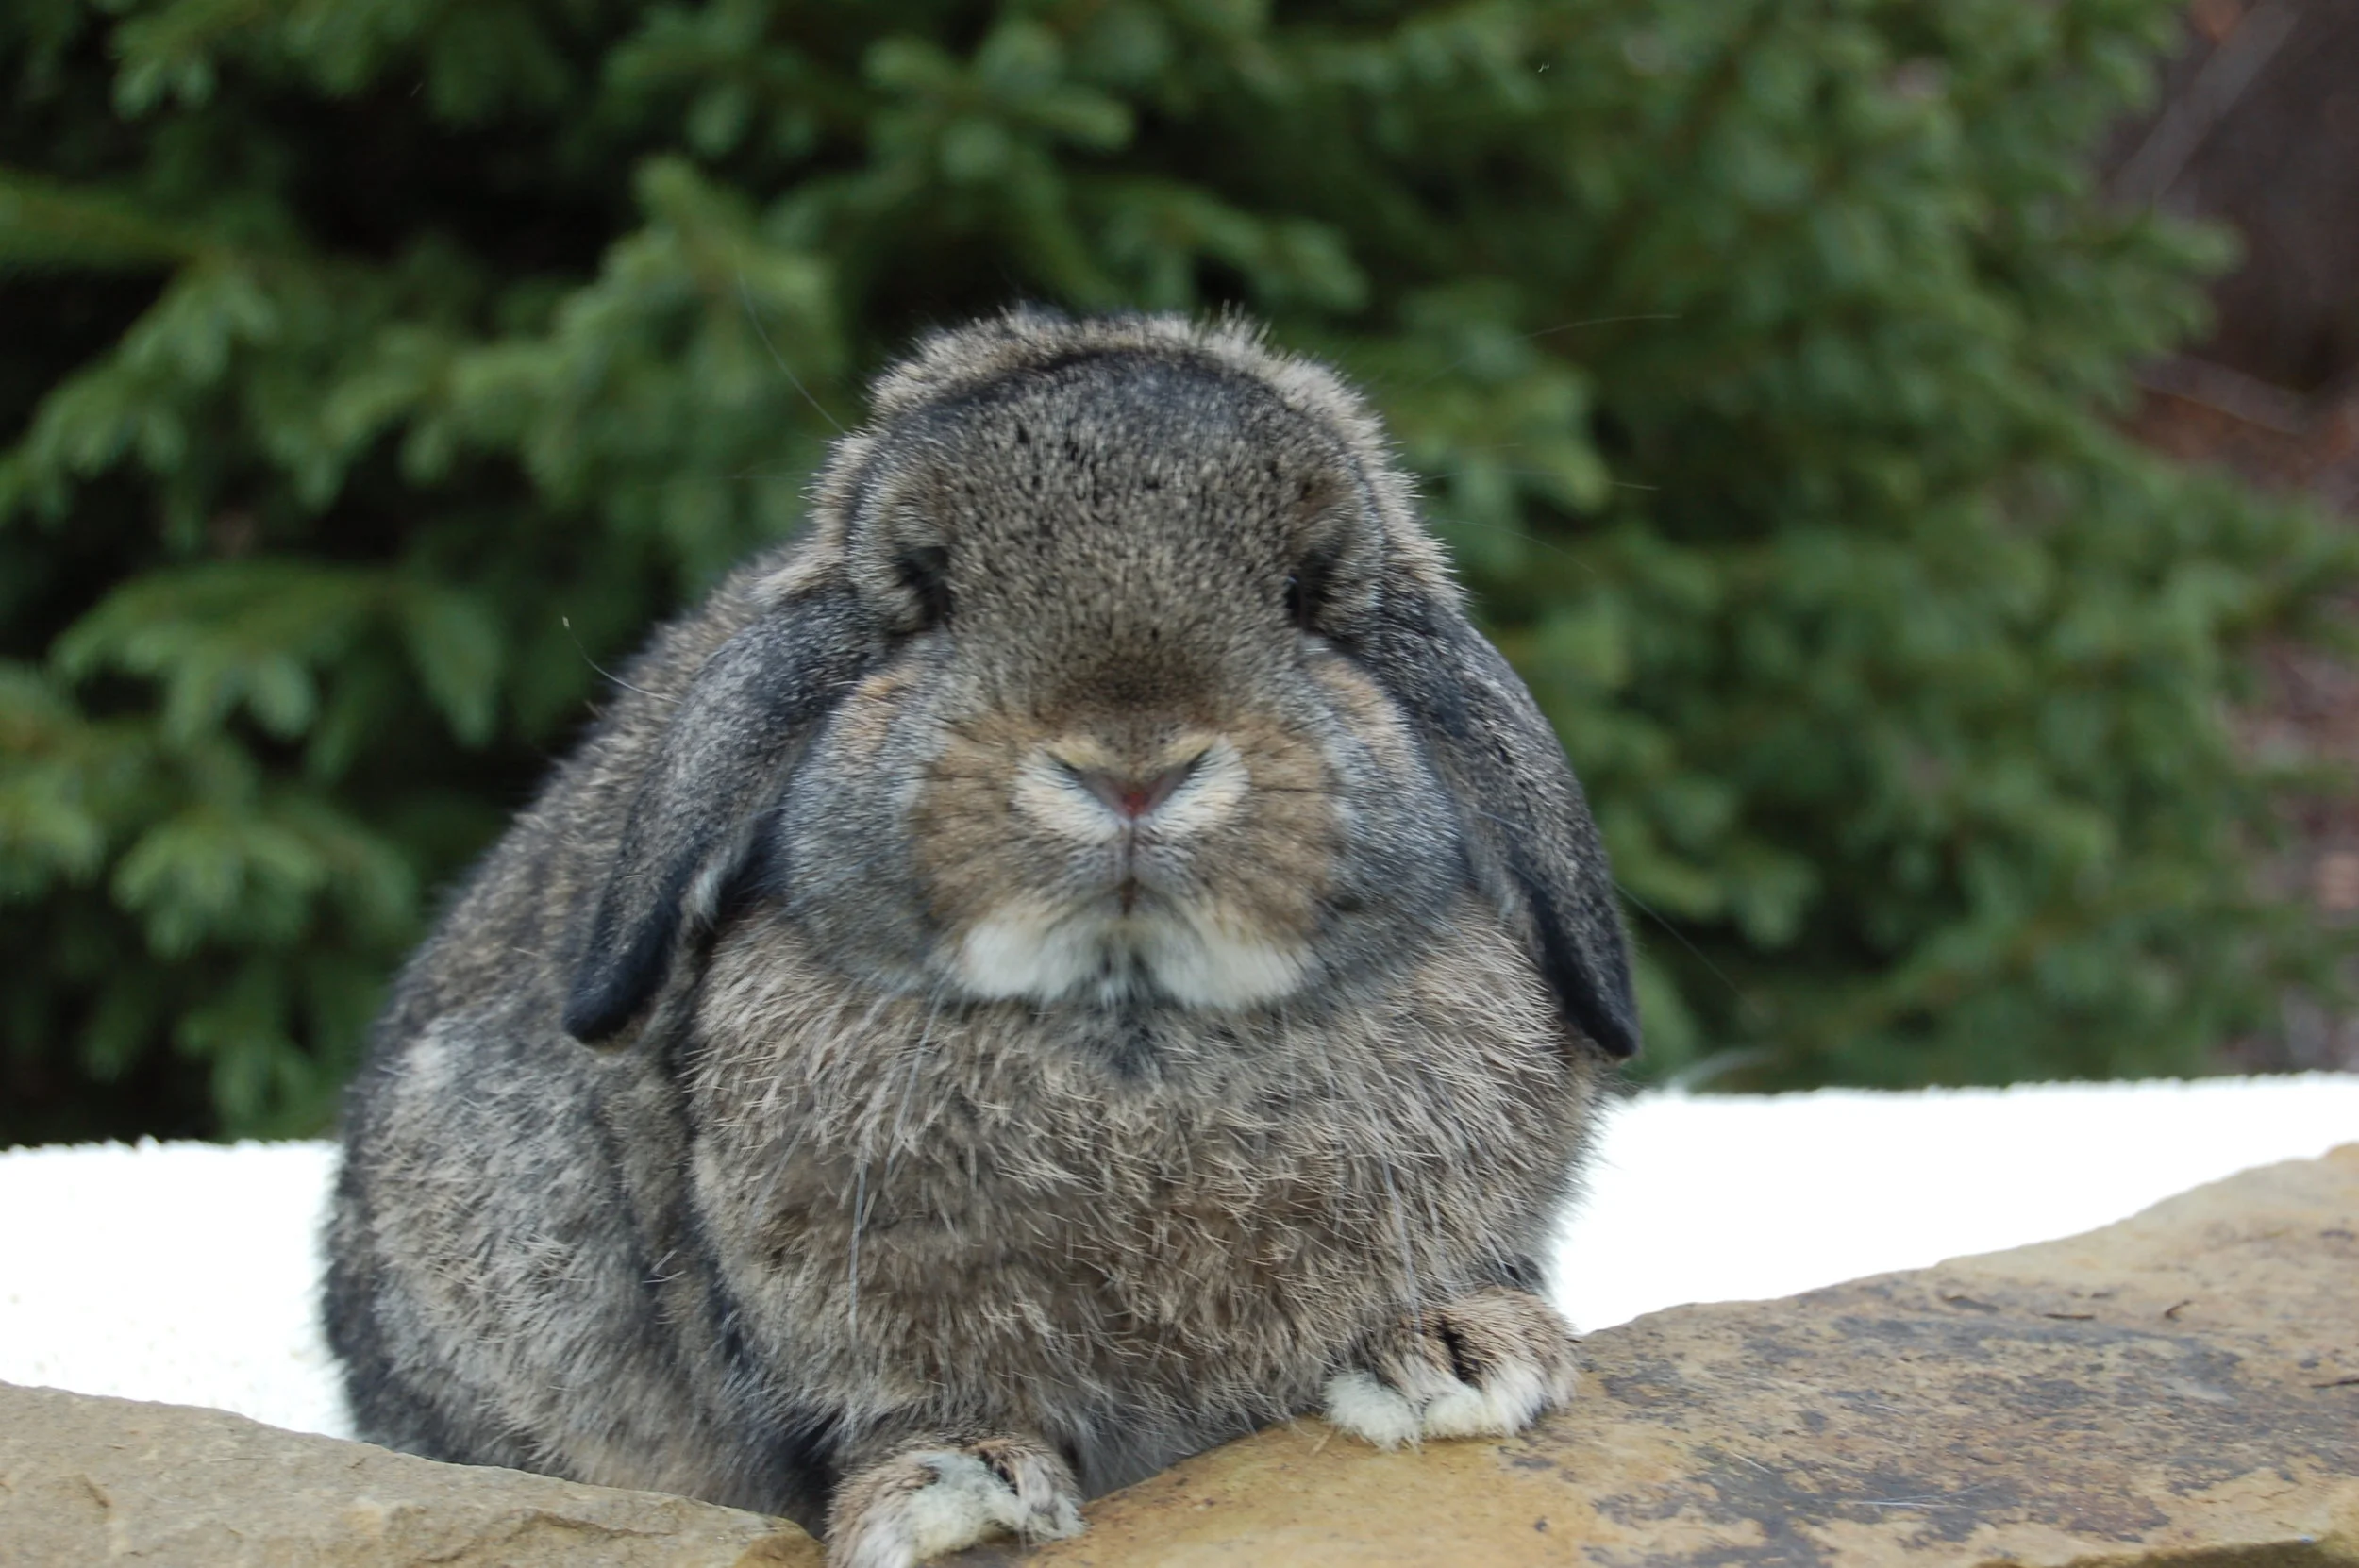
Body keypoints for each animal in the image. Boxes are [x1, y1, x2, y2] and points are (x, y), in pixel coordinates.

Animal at [324, 309, 1638, 1568]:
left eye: (1310, 594)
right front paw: (958, 1492)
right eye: (926, 591)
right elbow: (908, 1411)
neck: (1130, 1026)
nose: (1130, 766)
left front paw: (1455, 1364)